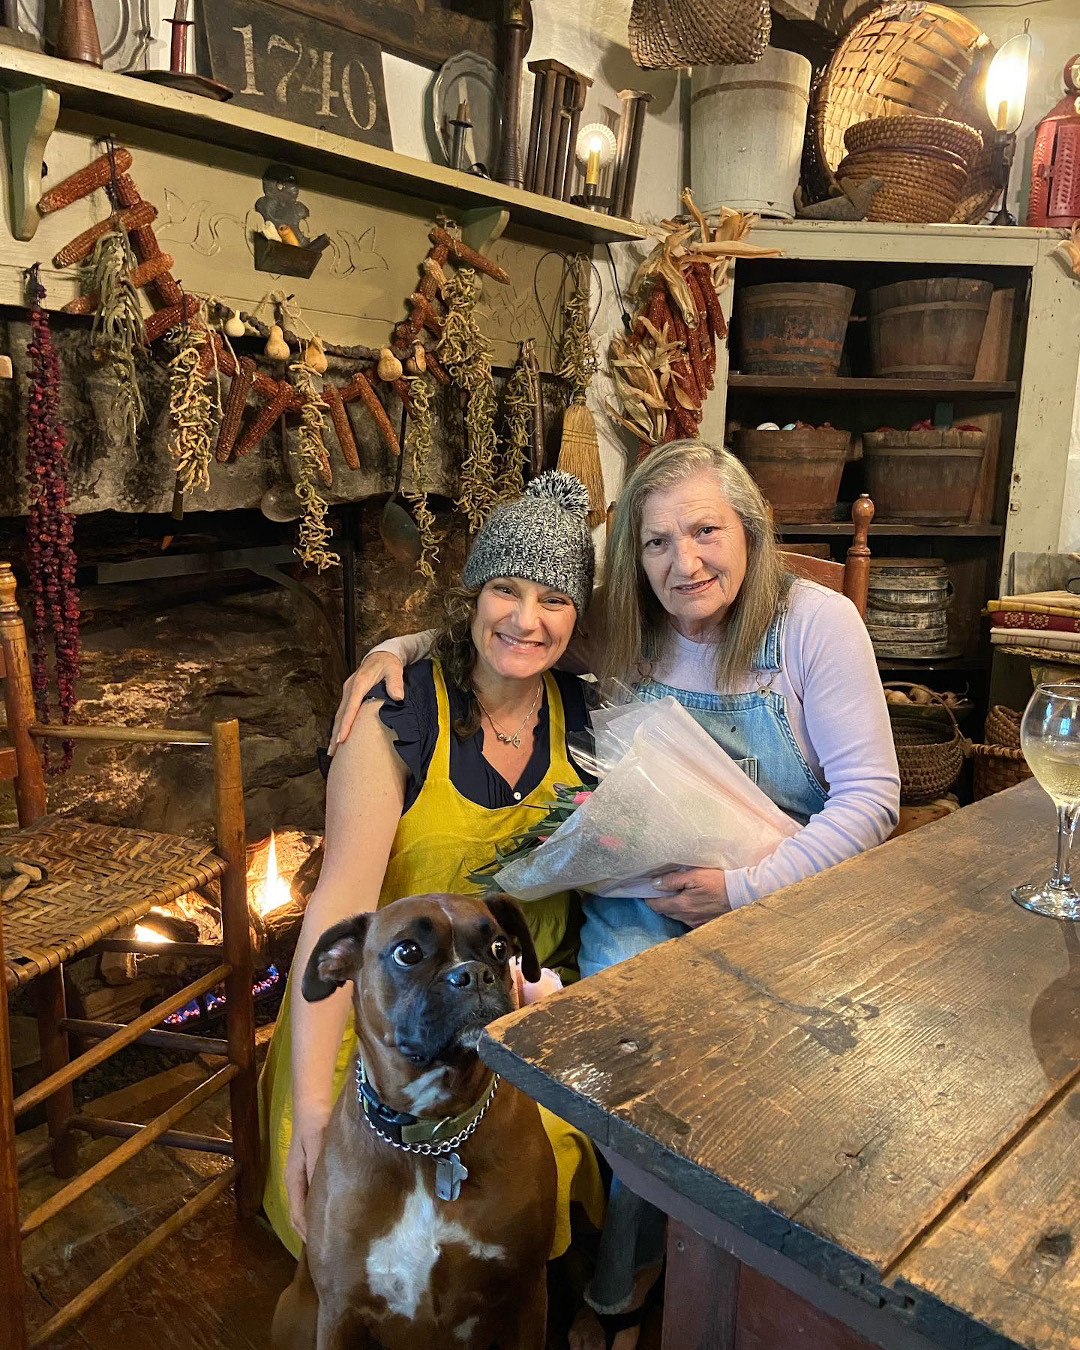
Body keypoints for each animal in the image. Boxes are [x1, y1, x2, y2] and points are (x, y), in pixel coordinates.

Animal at [270, 896, 556, 1350]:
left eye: (498, 947)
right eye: (408, 952)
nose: (474, 974)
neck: (430, 1139)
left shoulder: (527, 1294)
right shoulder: (340, 1312)